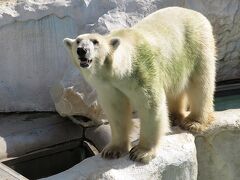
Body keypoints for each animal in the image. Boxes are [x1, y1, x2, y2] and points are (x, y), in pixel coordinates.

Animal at [63, 7, 216, 163]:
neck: (120, 71)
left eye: (95, 41)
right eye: (78, 41)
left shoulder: (142, 73)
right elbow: (116, 110)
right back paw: (174, 117)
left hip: (196, 45)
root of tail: (195, 13)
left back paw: (194, 122)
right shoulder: (110, 87)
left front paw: (140, 152)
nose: (82, 50)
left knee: (200, 85)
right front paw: (112, 150)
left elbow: (150, 105)